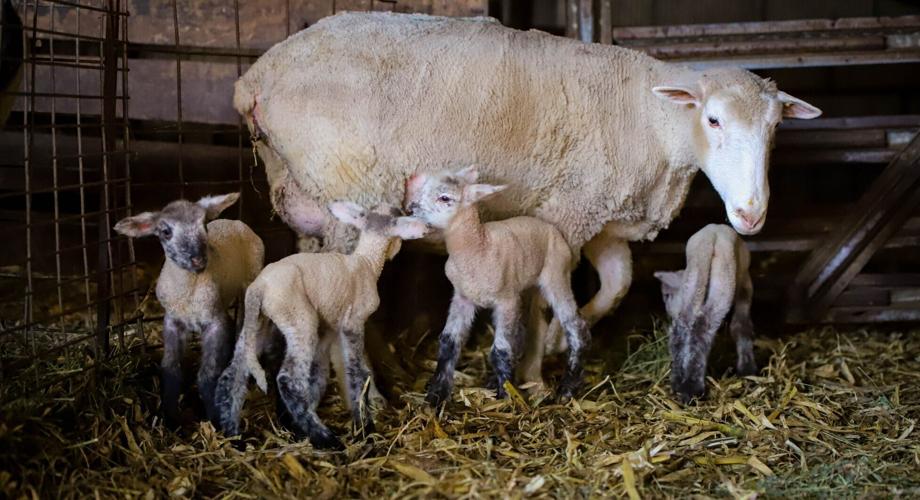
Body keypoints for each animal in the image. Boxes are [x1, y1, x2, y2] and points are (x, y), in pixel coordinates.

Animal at [113, 193, 264, 426]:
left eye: (204, 225)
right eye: (166, 232)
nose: (198, 259)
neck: (188, 292)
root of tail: (235, 222)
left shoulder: (214, 322)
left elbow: (208, 374)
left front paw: (214, 418)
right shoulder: (172, 321)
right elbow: (171, 369)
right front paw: (170, 417)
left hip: (251, 278)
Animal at [214, 202, 430, 450]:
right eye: (398, 217)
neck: (366, 261)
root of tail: (259, 288)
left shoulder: (330, 329)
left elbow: (320, 374)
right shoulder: (353, 322)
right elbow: (358, 372)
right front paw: (365, 426)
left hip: (258, 323)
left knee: (233, 373)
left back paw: (233, 433)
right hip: (298, 319)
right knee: (288, 380)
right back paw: (326, 438)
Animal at [405, 166, 589, 405]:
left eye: (445, 198)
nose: (410, 208)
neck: (478, 247)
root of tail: (550, 227)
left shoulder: (506, 301)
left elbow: (501, 349)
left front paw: (506, 396)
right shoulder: (462, 297)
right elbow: (449, 342)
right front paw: (437, 393)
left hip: (557, 272)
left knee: (575, 325)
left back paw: (567, 388)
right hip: (525, 284)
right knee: (522, 330)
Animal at [653, 224, 756, 404]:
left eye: (667, 296)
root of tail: (711, 237)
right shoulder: (745, 283)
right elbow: (741, 325)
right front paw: (747, 369)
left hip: (694, 276)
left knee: (683, 328)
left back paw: (679, 383)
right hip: (724, 282)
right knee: (703, 328)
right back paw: (692, 387)